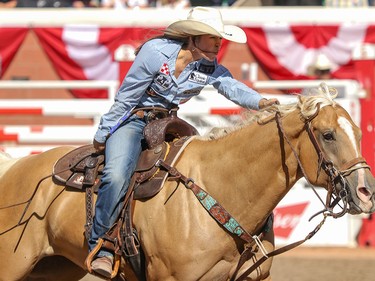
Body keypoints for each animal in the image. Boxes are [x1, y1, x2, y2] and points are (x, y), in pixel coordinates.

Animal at [0, 83, 375, 280]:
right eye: (328, 135)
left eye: (358, 132)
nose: (366, 192)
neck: (221, 188)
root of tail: (16, 168)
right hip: (14, 264)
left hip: (54, 267)